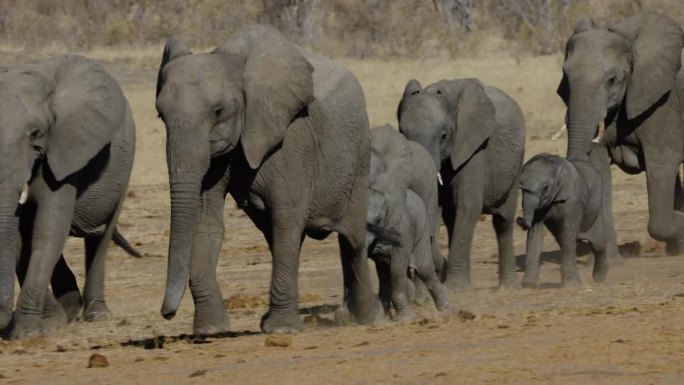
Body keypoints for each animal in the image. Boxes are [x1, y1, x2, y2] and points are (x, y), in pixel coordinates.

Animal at [0, 55, 138, 338]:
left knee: (101, 238)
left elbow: (49, 230)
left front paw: (28, 333)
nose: (3, 320)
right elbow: (22, 238)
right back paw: (70, 309)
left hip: (125, 163)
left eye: (35, 133)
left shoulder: (66, 152)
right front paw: (51, 321)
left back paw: (96, 315)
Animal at [155, 25, 376, 334]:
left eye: (218, 112)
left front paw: (282, 330)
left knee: (352, 239)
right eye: (160, 115)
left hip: (359, 158)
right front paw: (211, 330)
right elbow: (205, 220)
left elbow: (287, 215)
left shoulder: (292, 138)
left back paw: (363, 317)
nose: (167, 314)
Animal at [398, 77, 528, 288]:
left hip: (516, 161)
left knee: (503, 221)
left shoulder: (474, 148)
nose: (441, 265)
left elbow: (468, 206)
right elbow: (446, 209)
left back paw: (507, 287)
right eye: (402, 133)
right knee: (453, 218)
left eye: (444, 135)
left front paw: (456, 287)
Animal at [516, 153, 608, 288]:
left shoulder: (574, 201)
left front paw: (572, 285)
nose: (519, 220)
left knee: (597, 244)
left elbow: (569, 232)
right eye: (521, 188)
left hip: (596, 212)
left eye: (545, 188)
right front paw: (529, 285)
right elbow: (535, 232)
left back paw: (599, 278)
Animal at [556, 12, 684, 255]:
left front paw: (678, 223)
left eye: (612, 80)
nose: (579, 239)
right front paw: (611, 261)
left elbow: (661, 164)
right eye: (565, 77)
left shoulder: (663, 103)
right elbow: (599, 167)